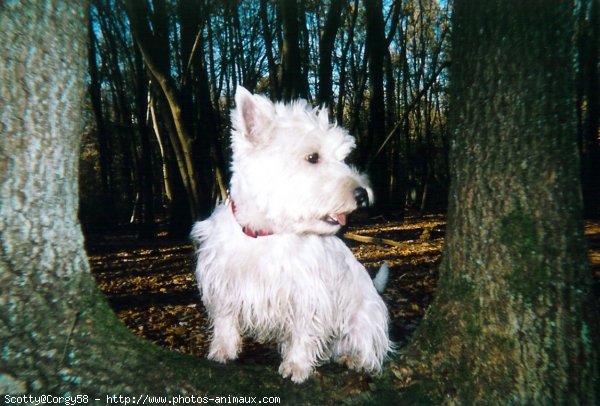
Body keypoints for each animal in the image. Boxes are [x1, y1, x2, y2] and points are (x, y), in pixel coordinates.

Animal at [190, 87, 392, 382]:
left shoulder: (309, 293)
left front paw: (296, 366)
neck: (265, 231)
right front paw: (222, 351)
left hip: (364, 316)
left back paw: (354, 359)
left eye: (342, 157)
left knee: (369, 346)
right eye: (313, 157)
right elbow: (225, 318)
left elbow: (304, 330)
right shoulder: (224, 281)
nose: (363, 195)